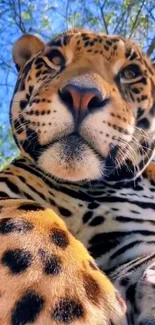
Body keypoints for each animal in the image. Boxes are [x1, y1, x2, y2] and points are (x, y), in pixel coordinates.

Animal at [0, 28, 155, 324]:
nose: (82, 95)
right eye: (54, 58)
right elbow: (31, 216)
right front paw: (79, 301)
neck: (88, 187)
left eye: (130, 73)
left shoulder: (134, 244)